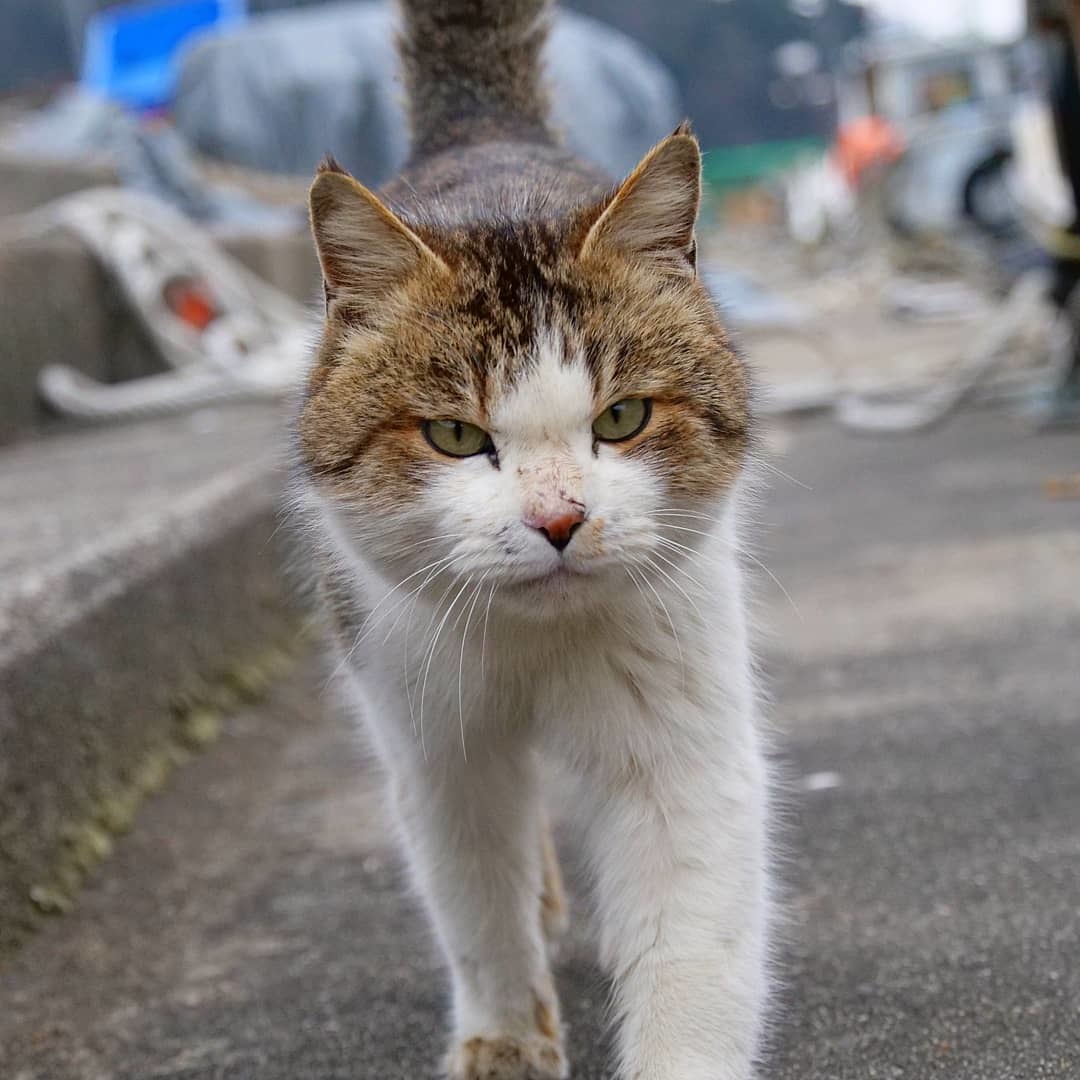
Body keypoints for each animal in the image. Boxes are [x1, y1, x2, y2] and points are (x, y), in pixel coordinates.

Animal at [293, 4, 768, 1075]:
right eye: (454, 435)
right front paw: (507, 1034)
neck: (535, 646)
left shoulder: (679, 734)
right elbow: (476, 902)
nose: (558, 520)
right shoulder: (433, 740)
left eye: (624, 417)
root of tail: (484, 131)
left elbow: (689, 940)